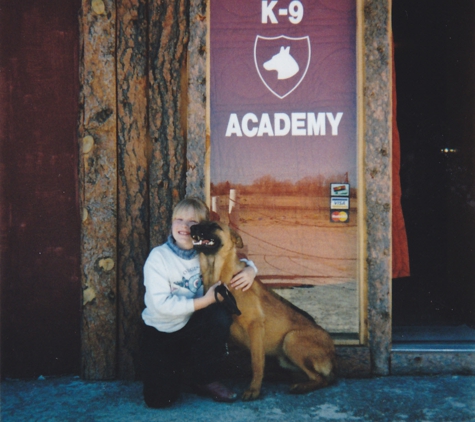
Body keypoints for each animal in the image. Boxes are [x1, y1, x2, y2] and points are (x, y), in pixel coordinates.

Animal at [191, 219, 338, 400]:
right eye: (200, 222)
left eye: (214, 225)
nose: (192, 227)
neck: (223, 277)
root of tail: (333, 354)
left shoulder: (255, 327)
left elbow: (257, 362)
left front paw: (254, 389)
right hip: (285, 357)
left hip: (291, 339)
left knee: (322, 379)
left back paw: (301, 387)